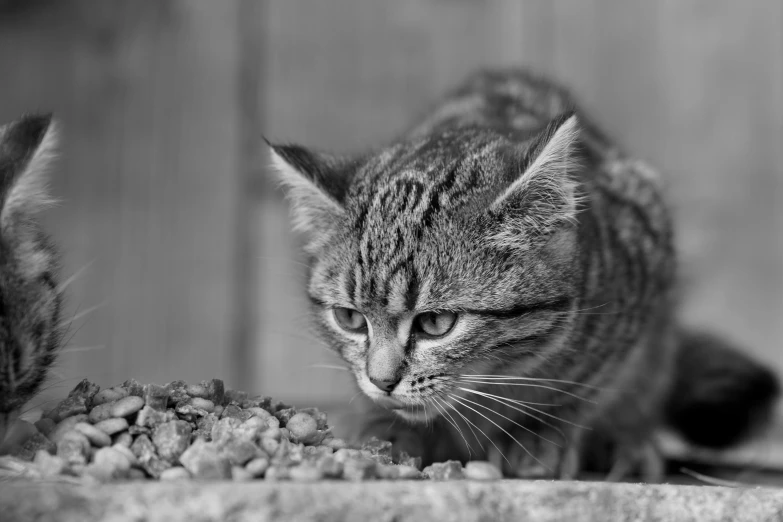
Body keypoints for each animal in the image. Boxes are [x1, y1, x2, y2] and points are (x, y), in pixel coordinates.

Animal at [268, 69, 776, 480]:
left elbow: (585, 388)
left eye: (436, 323)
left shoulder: (642, 274)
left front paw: (538, 431)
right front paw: (384, 429)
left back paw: (625, 443)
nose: (382, 381)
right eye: (351, 319)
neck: (498, 376)